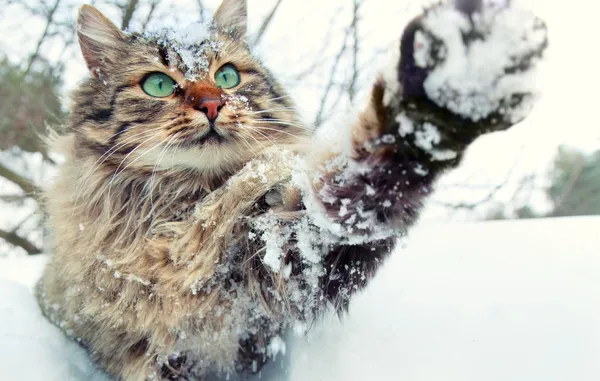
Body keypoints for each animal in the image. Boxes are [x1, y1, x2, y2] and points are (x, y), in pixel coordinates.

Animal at [35, 0, 548, 378]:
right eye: (159, 84)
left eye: (226, 76)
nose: (212, 104)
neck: (186, 208)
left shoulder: (287, 258)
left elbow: (360, 189)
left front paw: (446, 95)